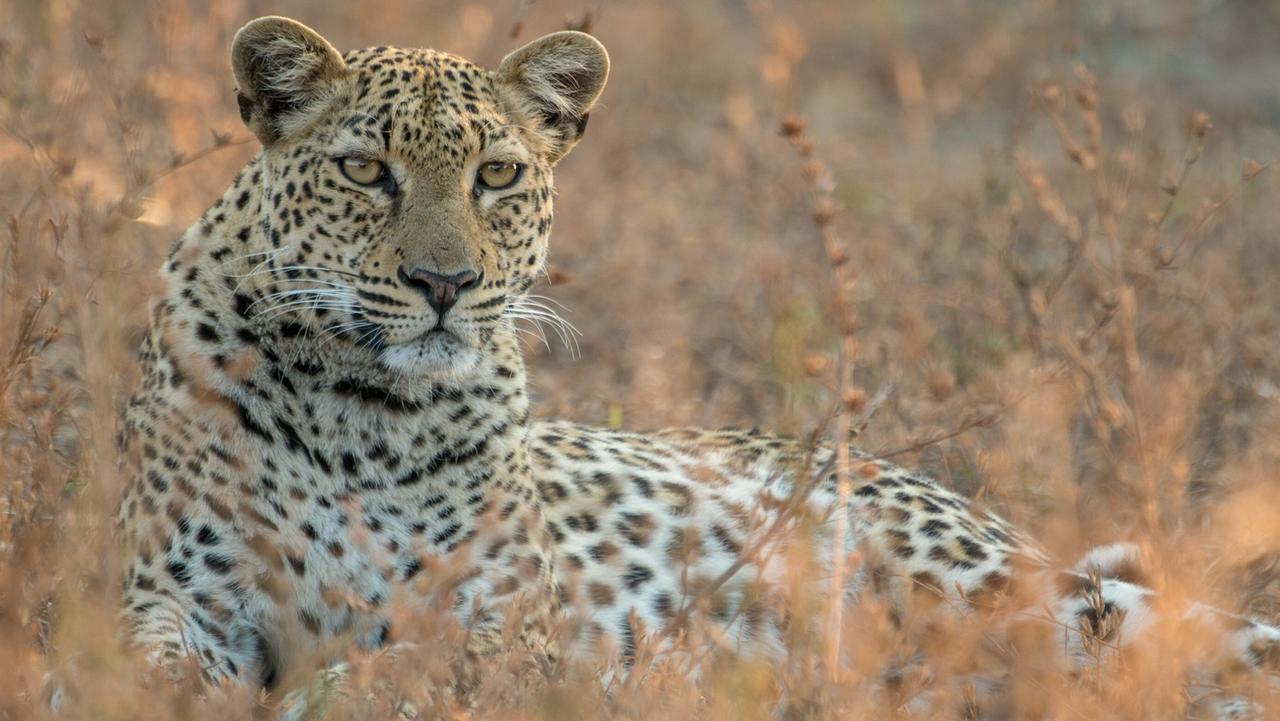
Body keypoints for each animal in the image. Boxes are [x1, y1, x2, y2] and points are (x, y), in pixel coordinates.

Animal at [115, 15, 1279, 719]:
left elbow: (389, 674)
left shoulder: (506, 624)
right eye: (364, 171)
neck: (365, 413)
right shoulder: (174, 593)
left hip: (983, 581)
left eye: (497, 175)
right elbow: (159, 666)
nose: (445, 281)